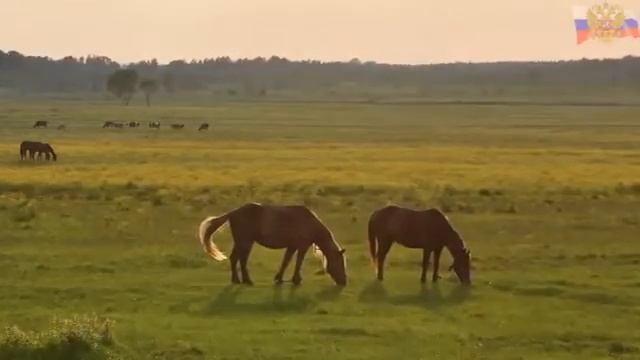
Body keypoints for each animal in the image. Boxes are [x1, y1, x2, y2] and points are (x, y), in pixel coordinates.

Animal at [198, 204, 348, 286]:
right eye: (340, 263)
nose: (344, 282)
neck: (309, 224)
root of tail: (234, 212)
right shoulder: (302, 247)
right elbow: (298, 262)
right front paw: (296, 280)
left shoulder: (292, 247)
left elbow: (286, 262)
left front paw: (279, 278)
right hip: (246, 242)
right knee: (242, 259)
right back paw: (246, 280)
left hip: (241, 242)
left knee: (235, 258)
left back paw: (237, 280)